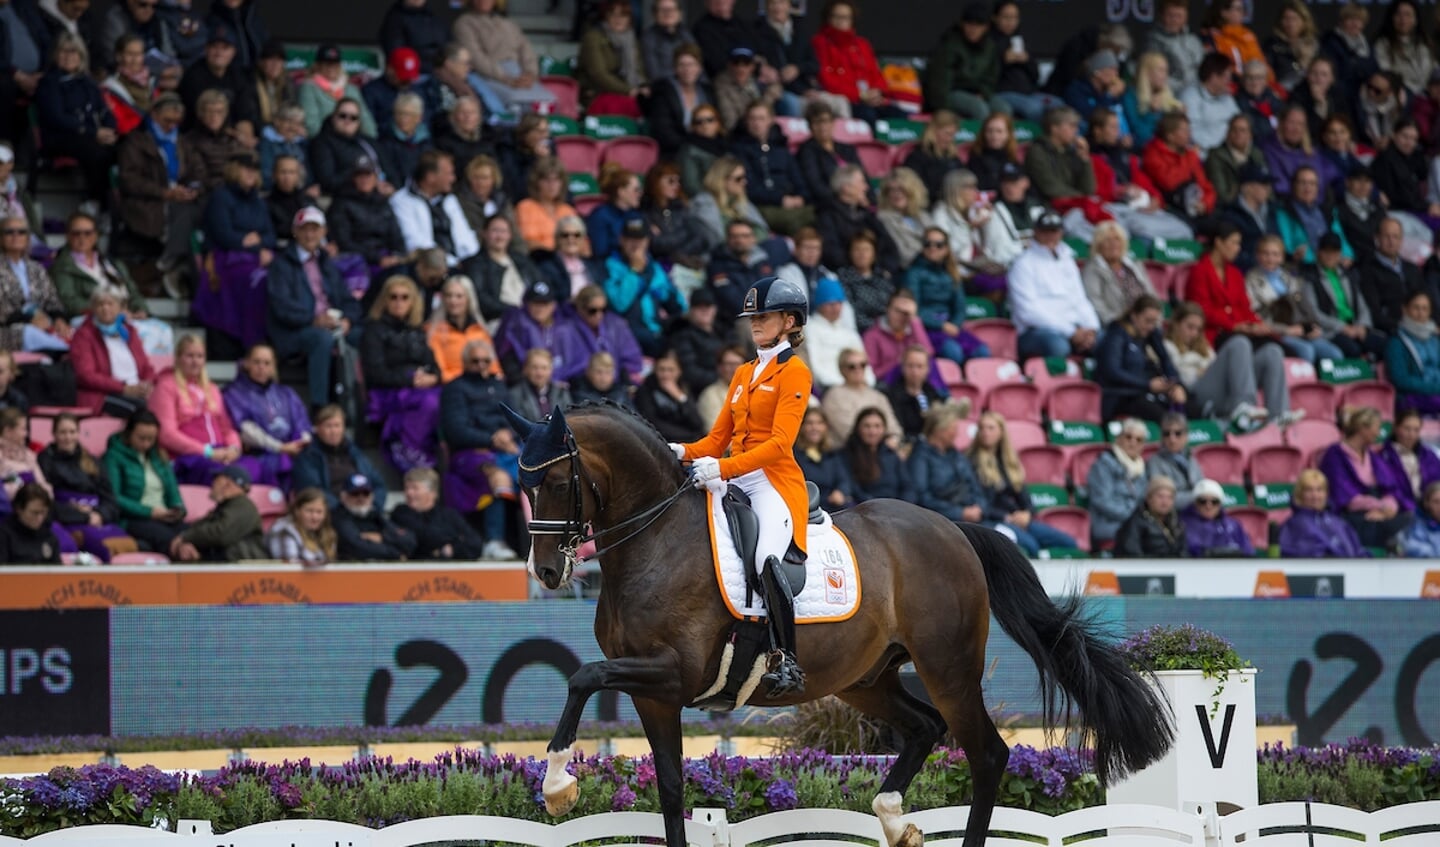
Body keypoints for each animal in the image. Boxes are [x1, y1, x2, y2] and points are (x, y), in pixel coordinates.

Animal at [506, 406, 1169, 847]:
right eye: (523, 484)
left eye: (557, 482)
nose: (546, 570)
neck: (656, 537)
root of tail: (952, 528)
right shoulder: (656, 693)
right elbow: (669, 787)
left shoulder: (674, 672)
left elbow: (583, 677)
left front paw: (558, 786)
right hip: (865, 678)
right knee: (924, 728)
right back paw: (895, 816)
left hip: (948, 667)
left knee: (986, 754)